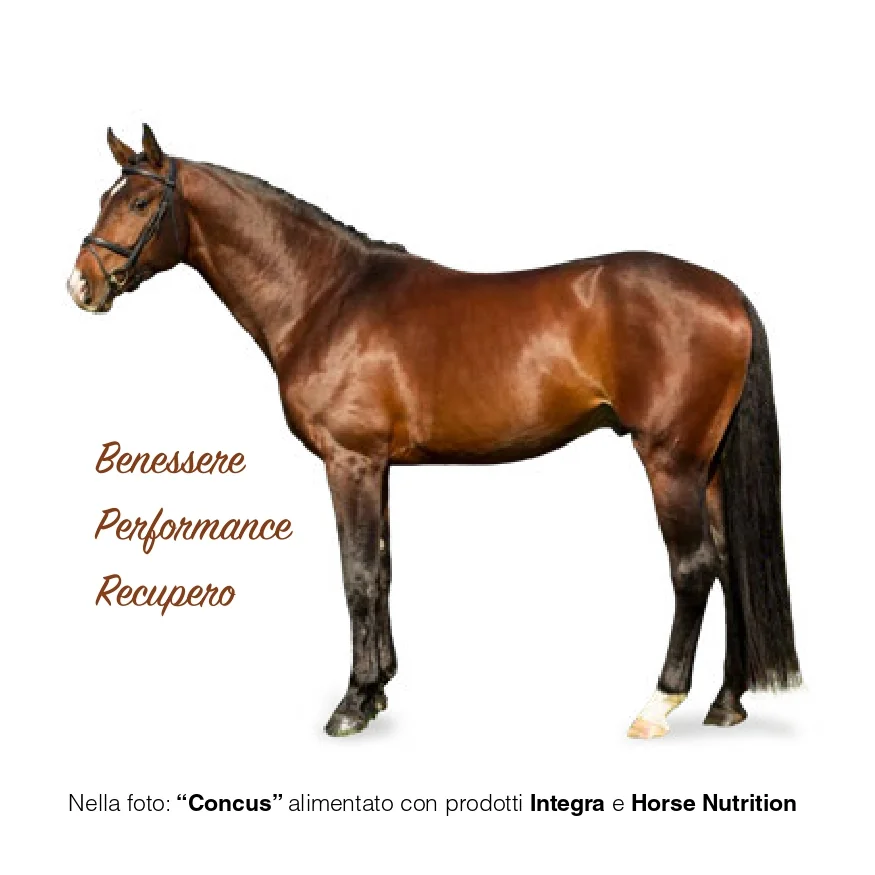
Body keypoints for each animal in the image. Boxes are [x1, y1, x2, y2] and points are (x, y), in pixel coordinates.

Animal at [67, 125, 801, 739]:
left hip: (671, 460)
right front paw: (378, 689)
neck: (327, 297)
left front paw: (351, 702)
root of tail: (728, 294)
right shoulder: (379, 466)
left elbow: (357, 574)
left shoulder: (349, 460)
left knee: (693, 567)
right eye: (106, 195)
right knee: (729, 559)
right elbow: (384, 568)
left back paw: (658, 704)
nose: (82, 285)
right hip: (707, 463)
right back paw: (725, 702)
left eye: (139, 201)